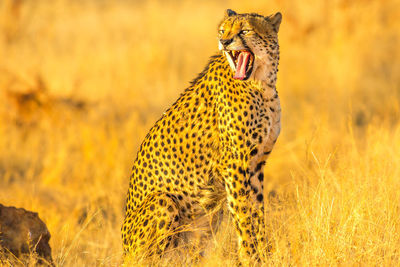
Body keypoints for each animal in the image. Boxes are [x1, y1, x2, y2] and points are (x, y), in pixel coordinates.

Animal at [122, 9, 282, 264]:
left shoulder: (257, 163)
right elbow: (243, 215)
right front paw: (250, 257)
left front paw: (264, 255)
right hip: (163, 201)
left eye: (245, 30)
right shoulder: (234, 164)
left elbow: (257, 213)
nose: (224, 42)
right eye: (222, 30)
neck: (261, 84)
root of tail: (124, 252)